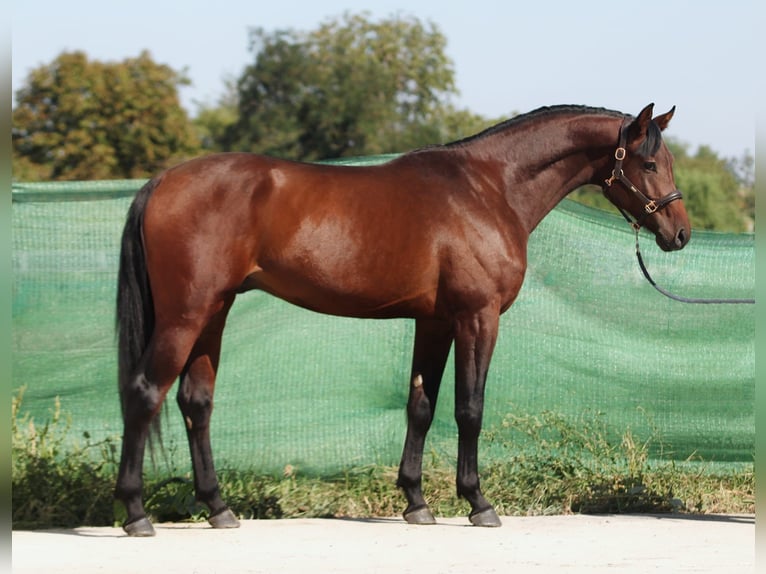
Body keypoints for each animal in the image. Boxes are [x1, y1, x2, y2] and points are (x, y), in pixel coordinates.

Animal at [117, 102, 692, 536]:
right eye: (649, 165)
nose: (680, 233)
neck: (489, 187)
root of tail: (162, 181)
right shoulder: (477, 317)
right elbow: (469, 409)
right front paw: (478, 503)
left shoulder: (434, 322)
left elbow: (421, 406)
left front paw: (417, 502)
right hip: (185, 315)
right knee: (145, 393)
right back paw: (136, 513)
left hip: (213, 313)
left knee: (196, 402)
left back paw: (218, 508)